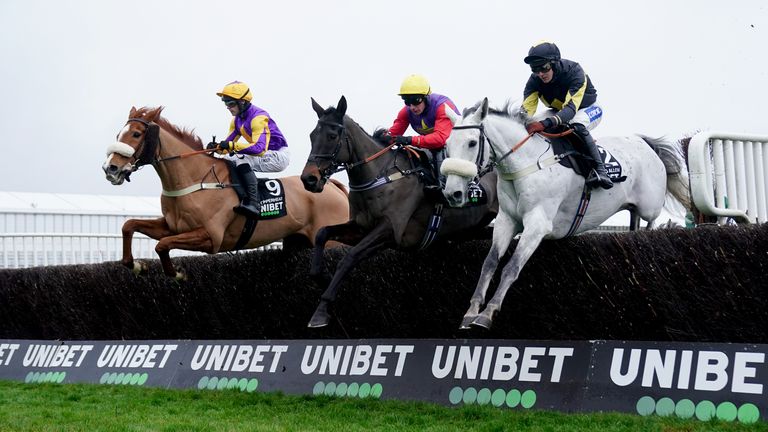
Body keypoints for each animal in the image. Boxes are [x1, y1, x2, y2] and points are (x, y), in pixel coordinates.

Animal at [100, 106, 350, 278]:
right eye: (119, 134)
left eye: (136, 134)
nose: (110, 168)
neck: (195, 179)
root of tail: (332, 187)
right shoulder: (172, 227)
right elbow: (129, 225)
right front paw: (136, 265)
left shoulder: (211, 237)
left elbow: (162, 245)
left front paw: (177, 273)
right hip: (298, 241)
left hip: (332, 242)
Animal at [296, 96, 500, 328]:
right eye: (312, 135)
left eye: (332, 136)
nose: (309, 179)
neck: (380, 176)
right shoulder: (360, 227)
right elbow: (323, 234)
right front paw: (322, 277)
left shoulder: (390, 230)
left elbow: (350, 257)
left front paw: (321, 311)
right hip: (473, 229)